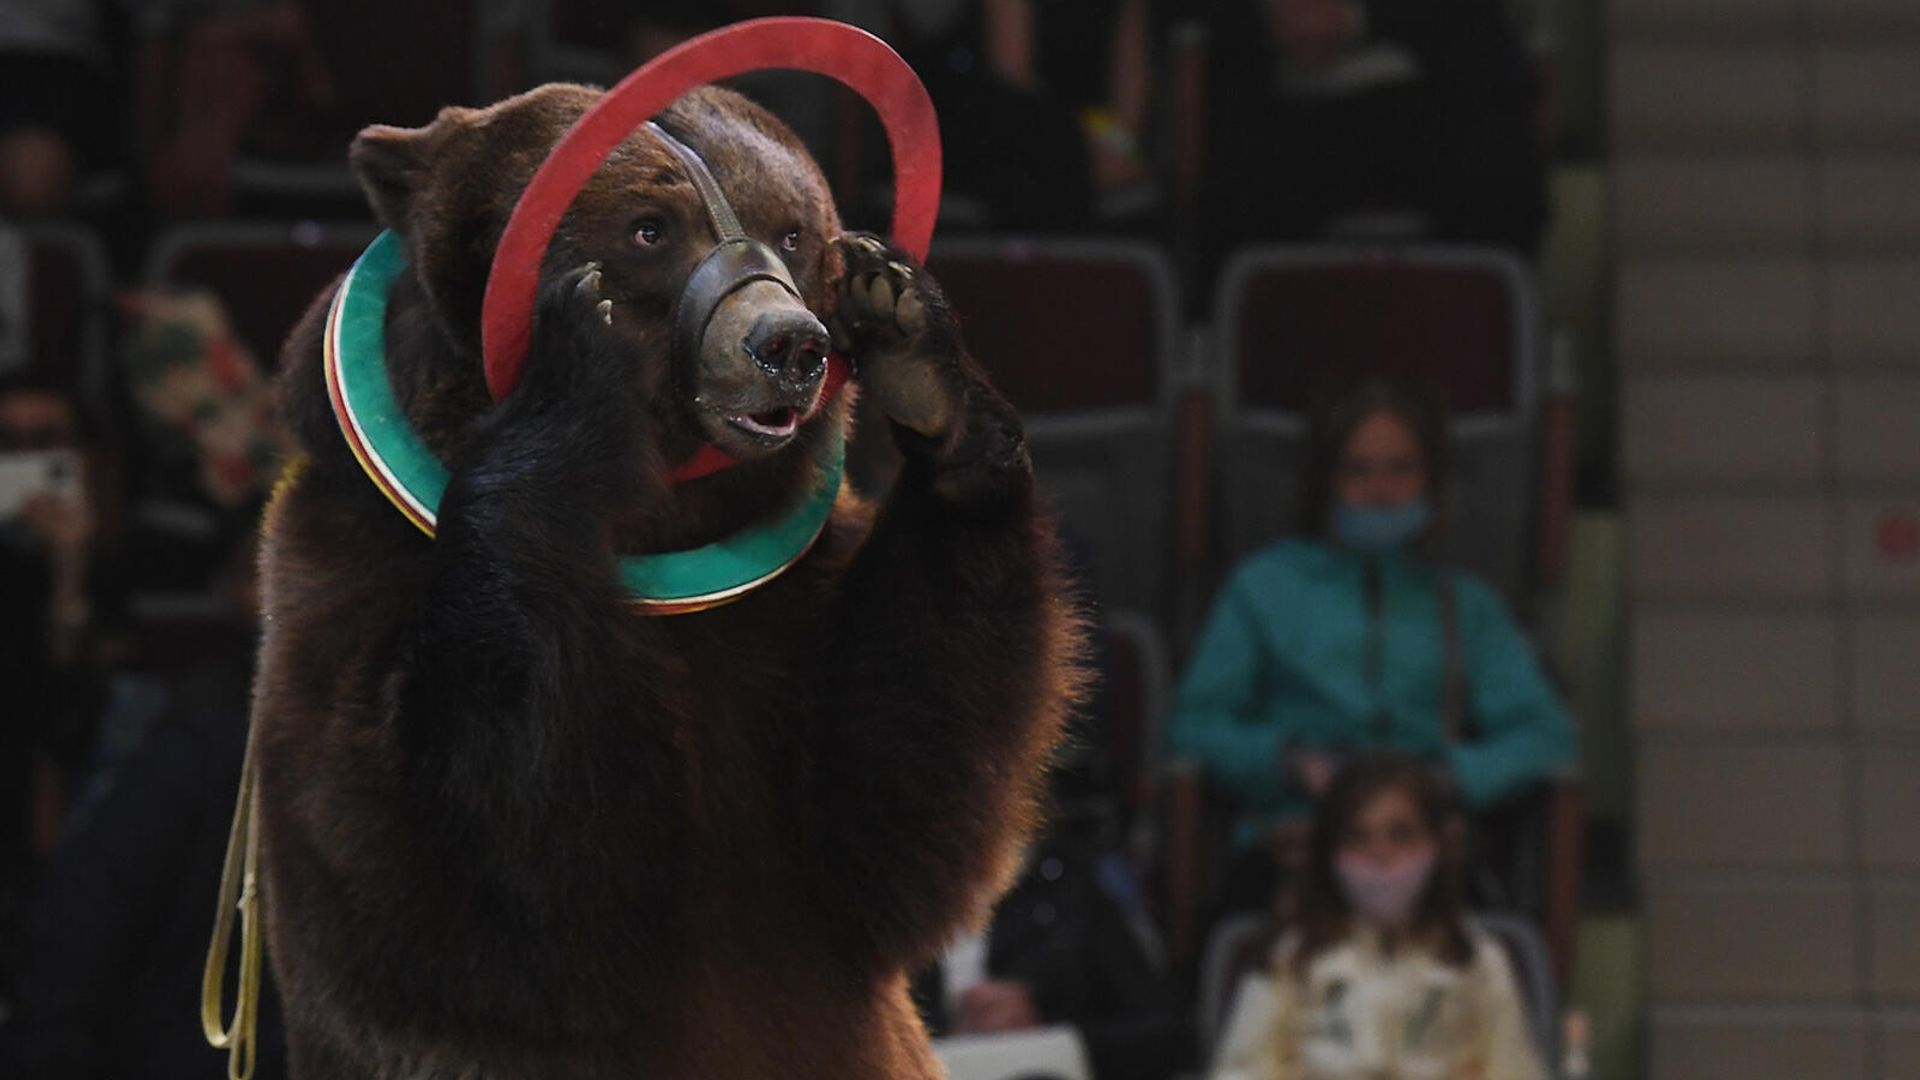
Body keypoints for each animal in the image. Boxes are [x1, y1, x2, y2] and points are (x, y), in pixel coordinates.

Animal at [251, 82, 1086, 1078]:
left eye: (793, 229)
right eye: (649, 228)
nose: (788, 344)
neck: (664, 524)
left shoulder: (784, 621)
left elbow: (896, 791)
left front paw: (910, 335)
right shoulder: (347, 582)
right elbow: (465, 847)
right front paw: (581, 354)